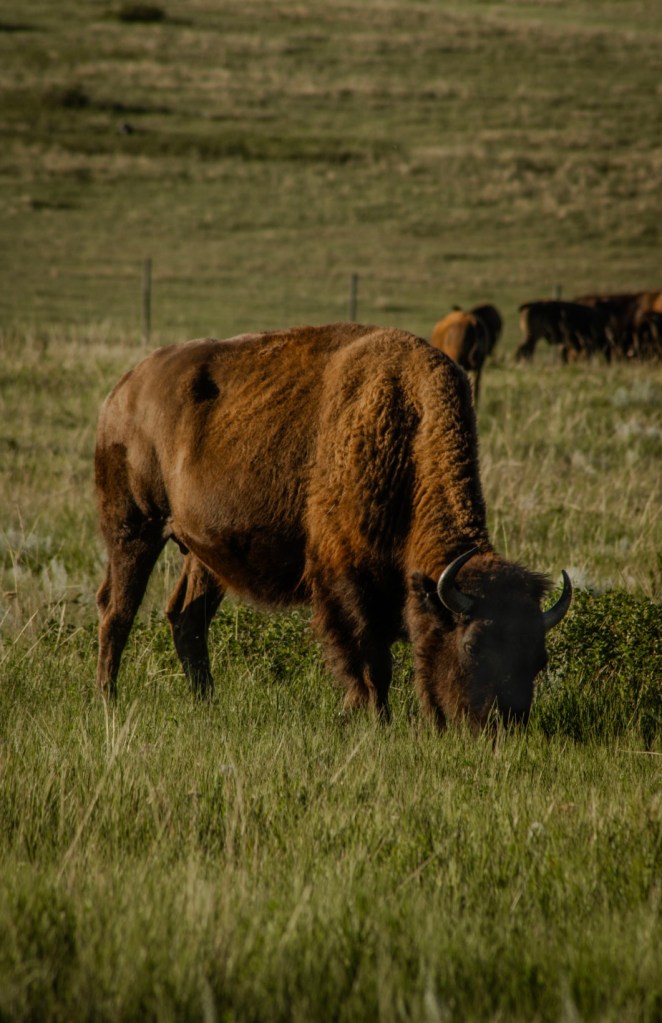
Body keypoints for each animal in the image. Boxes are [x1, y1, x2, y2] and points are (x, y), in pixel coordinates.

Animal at [95, 323, 571, 731]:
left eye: (539, 659)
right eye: (472, 645)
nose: (500, 726)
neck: (405, 424)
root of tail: (123, 390)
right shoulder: (345, 579)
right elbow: (370, 659)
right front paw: (374, 718)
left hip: (203, 553)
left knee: (186, 617)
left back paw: (207, 701)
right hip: (133, 529)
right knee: (117, 611)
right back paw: (108, 698)